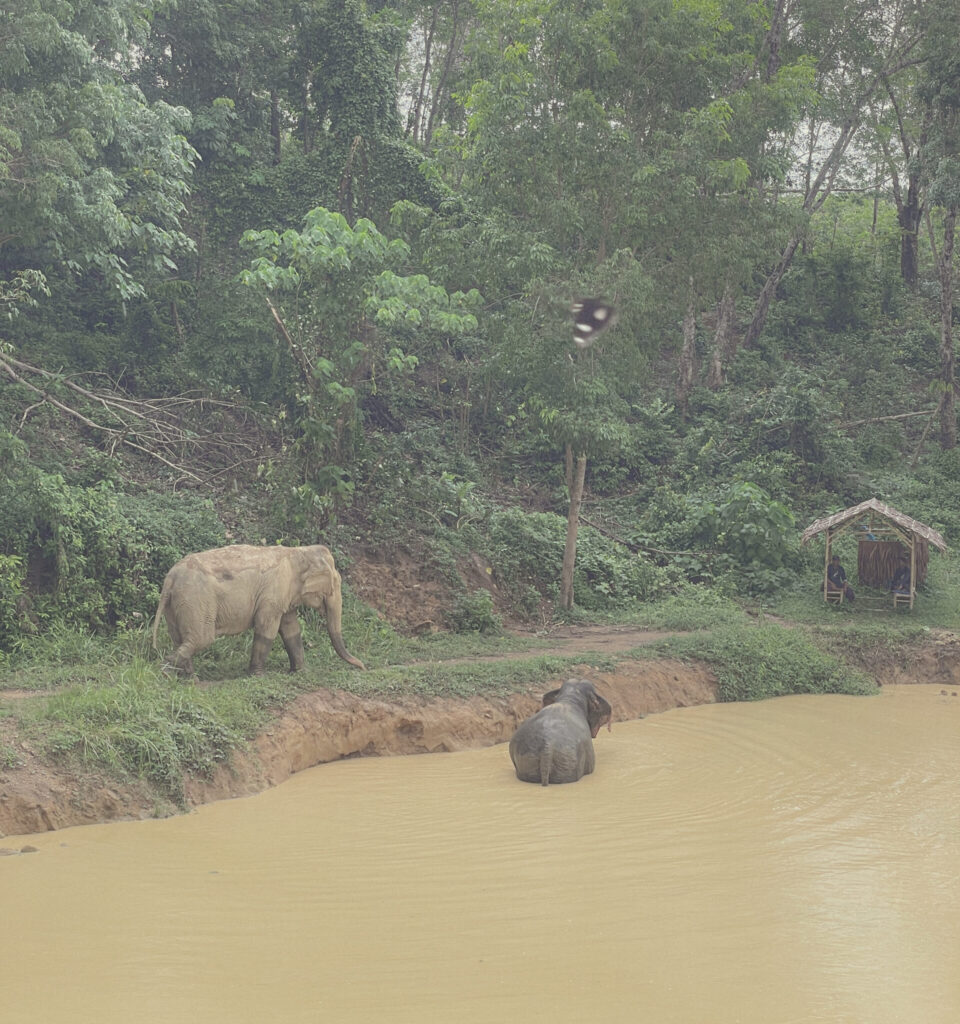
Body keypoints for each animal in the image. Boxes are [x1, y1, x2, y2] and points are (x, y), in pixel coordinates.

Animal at [151, 544, 364, 679]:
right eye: (334, 586)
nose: (363, 666)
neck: (297, 552)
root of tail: (170, 578)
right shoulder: (272, 593)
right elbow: (266, 627)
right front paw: (259, 676)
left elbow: (291, 629)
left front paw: (301, 672)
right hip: (196, 601)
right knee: (201, 638)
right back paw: (166, 673)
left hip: (177, 604)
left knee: (181, 639)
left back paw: (188, 679)